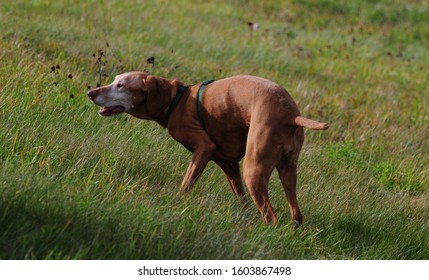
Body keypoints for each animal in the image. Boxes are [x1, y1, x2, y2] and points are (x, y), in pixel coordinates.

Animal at [88, 72, 328, 225]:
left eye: (121, 85)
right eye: (114, 80)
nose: (91, 92)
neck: (177, 100)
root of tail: (290, 114)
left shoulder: (204, 148)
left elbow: (186, 185)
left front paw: (176, 204)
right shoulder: (228, 164)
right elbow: (242, 199)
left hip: (253, 170)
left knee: (271, 217)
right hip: (287, 170)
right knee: (296, 215)